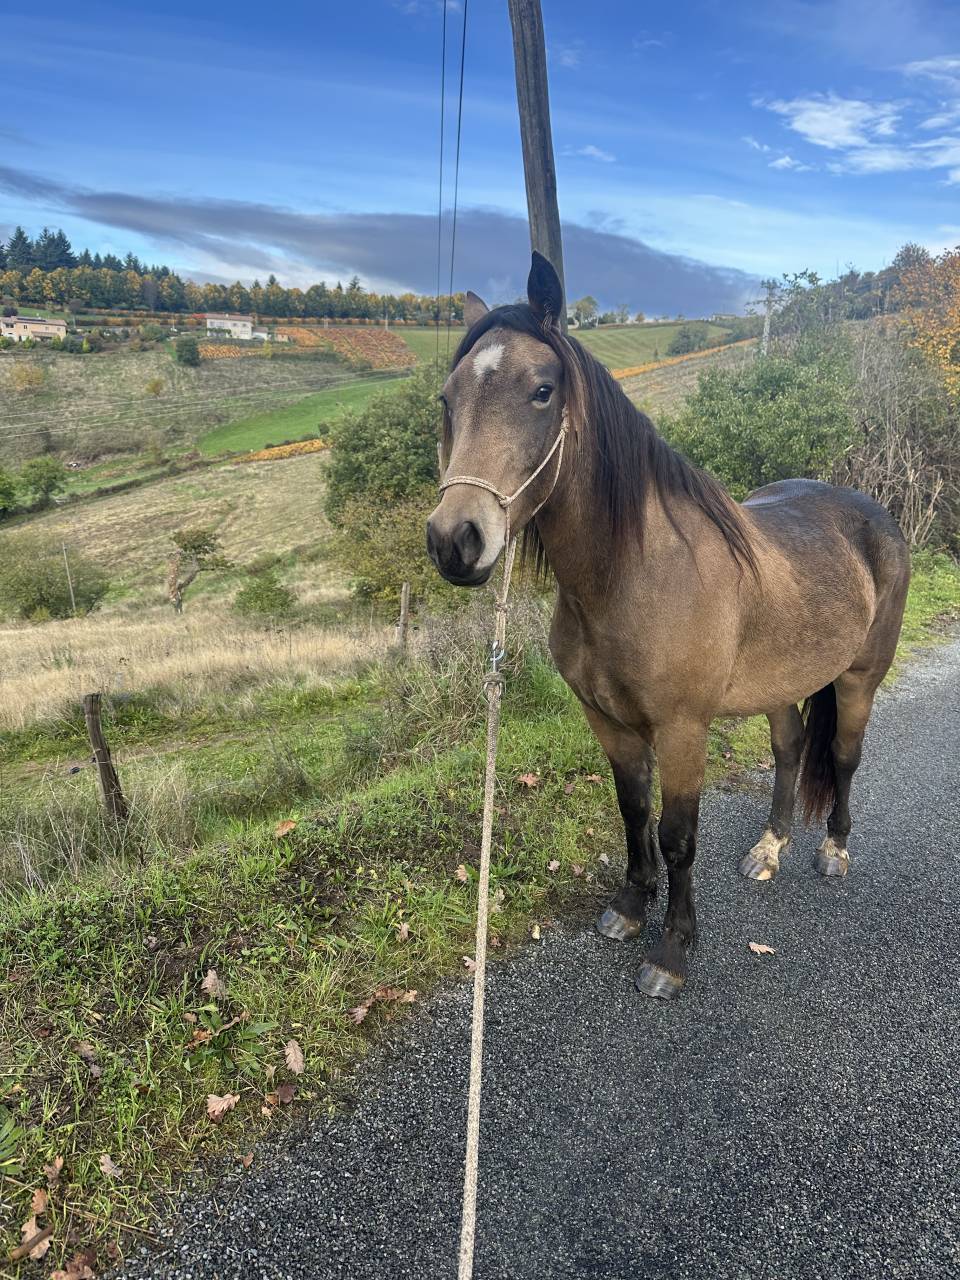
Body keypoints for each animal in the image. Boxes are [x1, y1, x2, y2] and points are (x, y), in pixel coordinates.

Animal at [426, 252, 910, 999]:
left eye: (542, 392)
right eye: (448, 400)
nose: (456, 541)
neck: (635, 576)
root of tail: (873, 514)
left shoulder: (683, 730)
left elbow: (680, 835)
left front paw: (672, 951)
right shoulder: (608, 720)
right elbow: (634, 812)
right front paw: (630, 908)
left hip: (860, 678)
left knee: (843, 756)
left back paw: (833, 850)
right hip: (779, 685)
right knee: (790, 750)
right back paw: (769, 849)